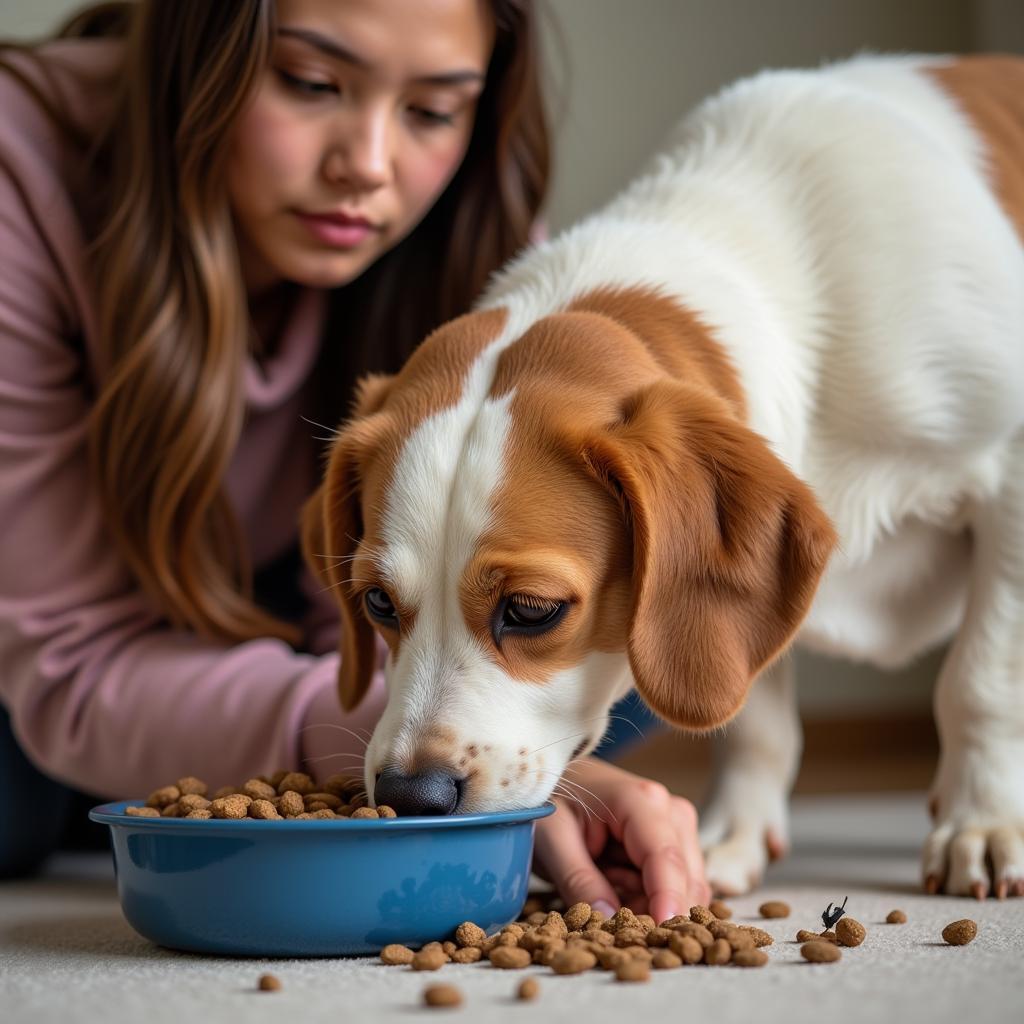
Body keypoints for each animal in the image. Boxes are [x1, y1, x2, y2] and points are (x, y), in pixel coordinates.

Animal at [301, 56, 1024, 897]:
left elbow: (981, 678)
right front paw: (732, 834)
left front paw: (983, 823)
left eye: (532, 610)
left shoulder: (1009, 475)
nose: (412, 795)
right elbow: (753, 713)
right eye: (378, 603)